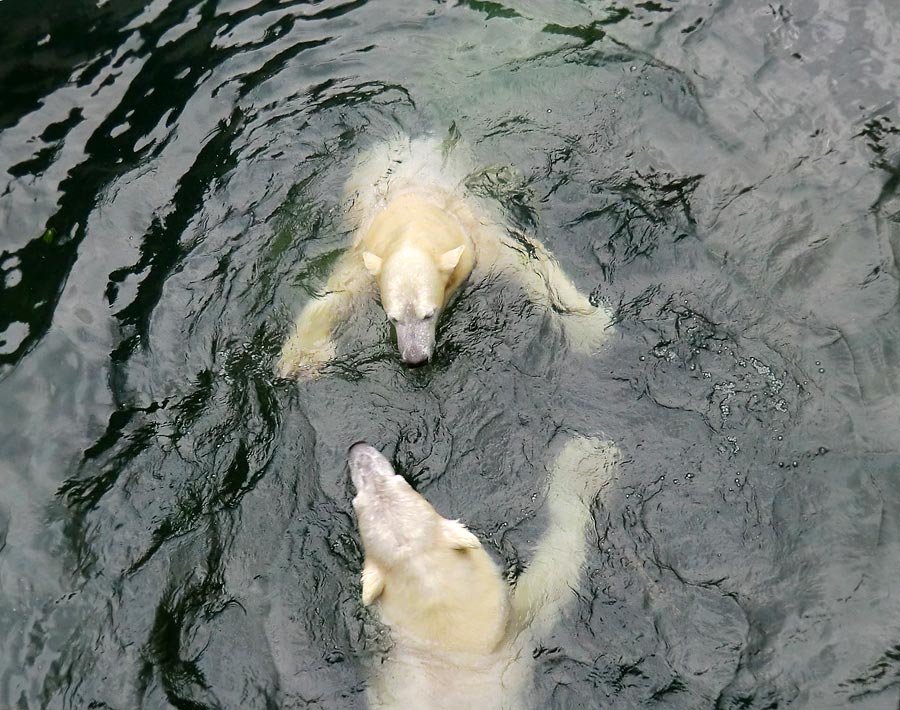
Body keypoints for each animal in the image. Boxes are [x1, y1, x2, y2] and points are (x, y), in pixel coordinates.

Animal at [274, 135, 612, 378]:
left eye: (429, 313)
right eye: (393, 317)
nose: (415, 359)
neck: (414, 215)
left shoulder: (476, 239)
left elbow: (529, 261)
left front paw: (591, 329)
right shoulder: (366, 258)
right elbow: (333, 296)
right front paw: (299, 361)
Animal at [344, 436, 620, 708]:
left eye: (399, 481)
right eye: (358, 503)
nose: (358, 450)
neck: (455, 647)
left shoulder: (516, 633)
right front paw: (587, 458)